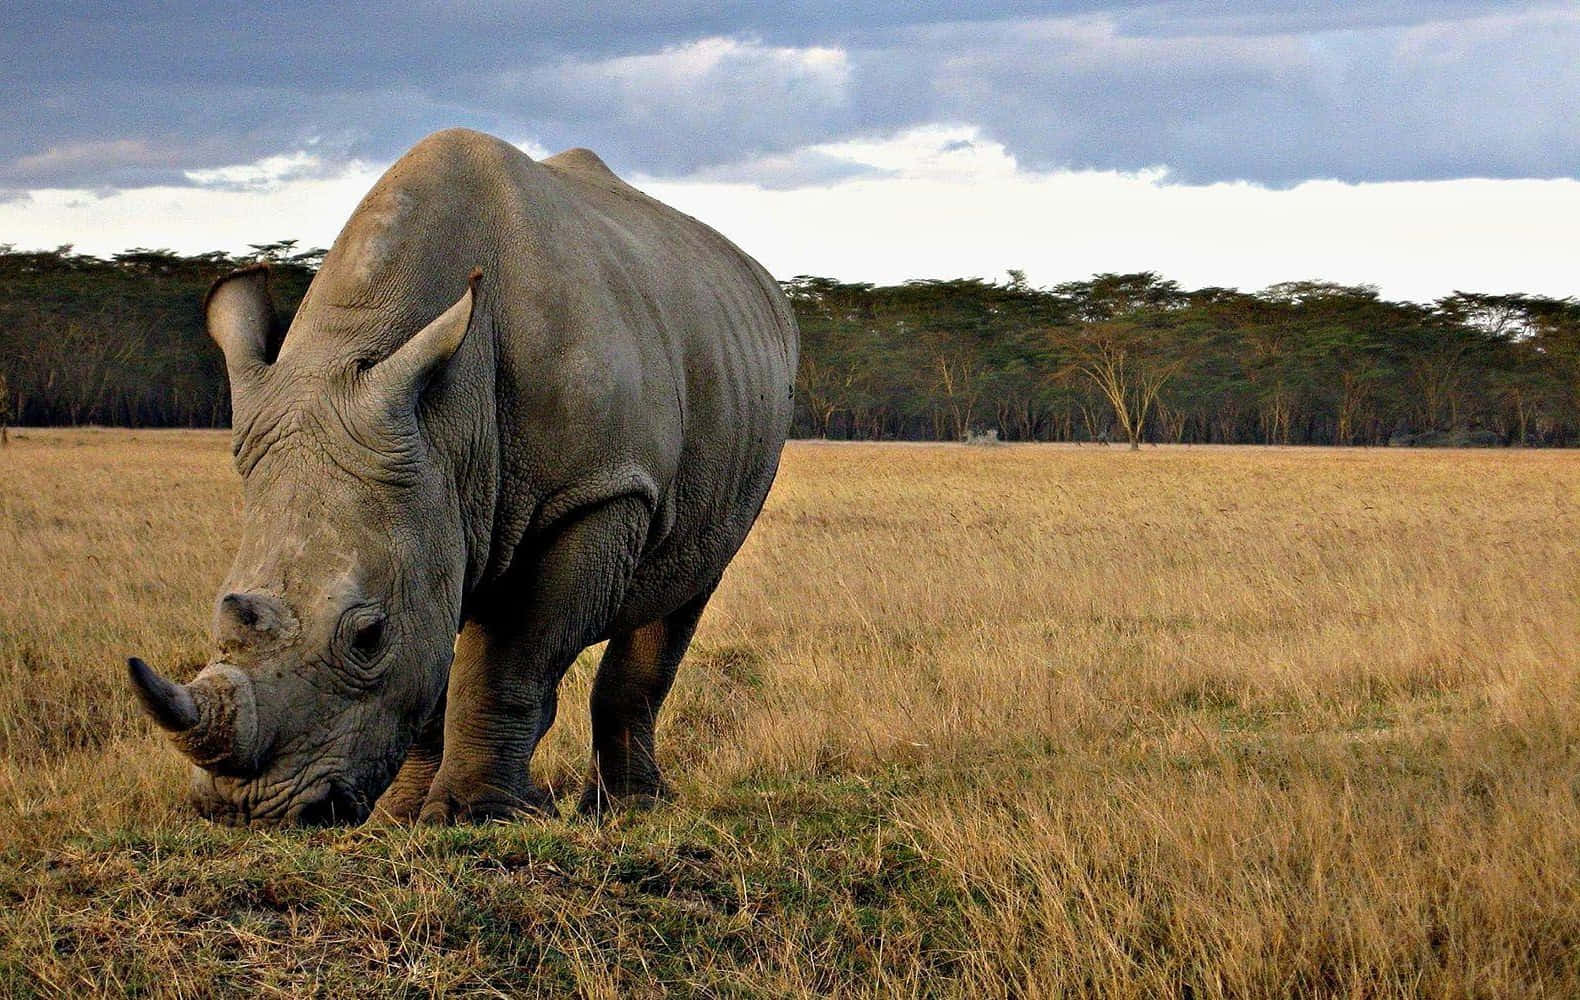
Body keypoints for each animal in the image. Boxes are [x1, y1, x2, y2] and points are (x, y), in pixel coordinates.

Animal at [127, 128, 797, 826]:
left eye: (368, 636)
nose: (250, 810)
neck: (447, 426)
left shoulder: (595, 491)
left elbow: (509, 658)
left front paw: (469, 815)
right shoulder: (425, 487)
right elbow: (431, 666)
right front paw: (402, 815)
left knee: (685, 588)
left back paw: (630, 808)